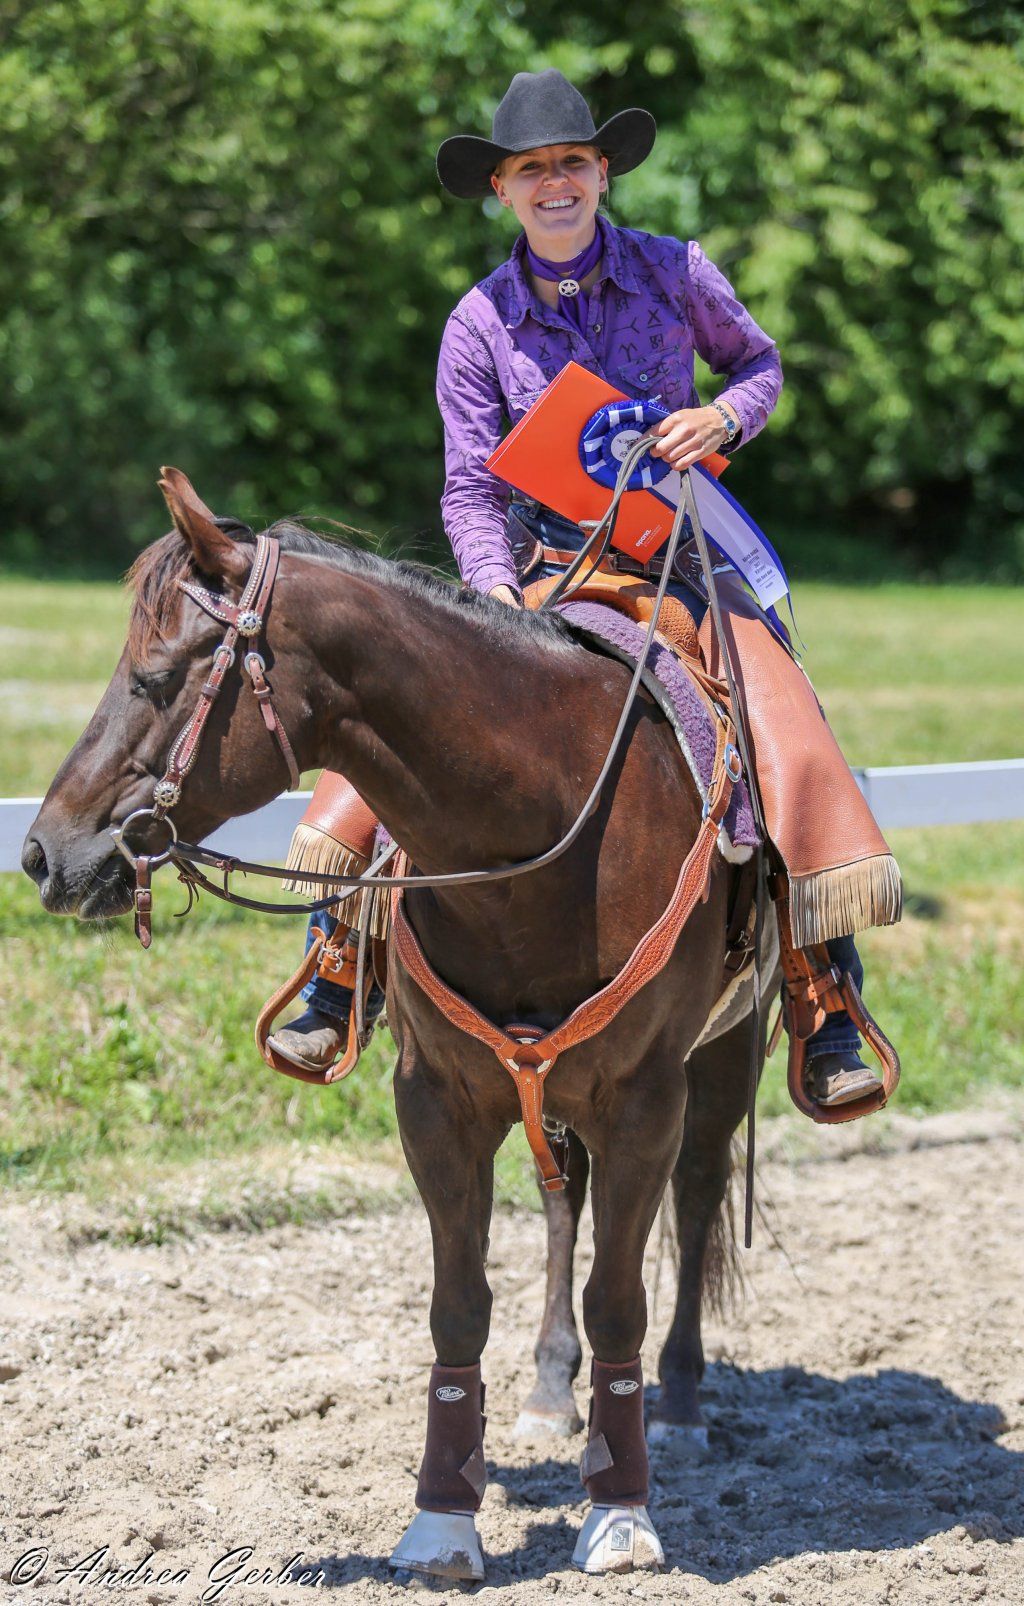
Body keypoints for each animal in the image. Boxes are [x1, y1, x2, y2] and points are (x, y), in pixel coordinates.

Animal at [22, 473, 763, 1580]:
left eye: (154, 678)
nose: (43, 851)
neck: (539, 833)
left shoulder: (644, 1099)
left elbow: (619, 1294)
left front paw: (621, 1511)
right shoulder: (437, 1100)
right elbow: (459, 1304)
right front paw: (443, 1518)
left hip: (718, 1065)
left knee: (699, 1192)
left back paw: (677, 1400)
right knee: (564, 1203)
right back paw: (551, 1388)